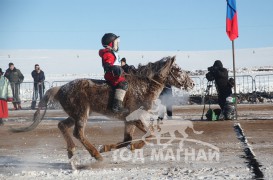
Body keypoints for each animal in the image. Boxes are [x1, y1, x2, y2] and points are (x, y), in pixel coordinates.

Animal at [10, 55, 193, 162]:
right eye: (177, 69)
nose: (191, 83)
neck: (143, 86)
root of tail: (61, 88)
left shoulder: (129, 121)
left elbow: (127, 139)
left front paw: (107, 147)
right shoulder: (136, 118)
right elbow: (151, 134)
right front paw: (132, 147)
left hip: (76, 114)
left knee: (62, 125)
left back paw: (72, 151)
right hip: (81, 113)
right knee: (78, 133)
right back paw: (94, 154)